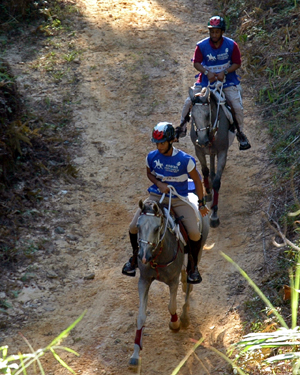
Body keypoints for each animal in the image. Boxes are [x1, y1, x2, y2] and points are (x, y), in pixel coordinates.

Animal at [128, 198, 209, 368]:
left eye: (156, 228)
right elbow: (141, 316)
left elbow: (171, 306)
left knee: (190, 281)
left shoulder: (173, 281)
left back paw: (184, 316)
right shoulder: (144, 281)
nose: (142, 256)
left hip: (198, 248)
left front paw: (175, 324)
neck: (157, 255)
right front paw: (135, 354)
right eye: (138, 226)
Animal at [190, 85, 234, 228]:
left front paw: (214, 215)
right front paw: (208, 191)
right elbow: (204, 170)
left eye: (207, 114)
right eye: (192, 116)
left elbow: (217, 182)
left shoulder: (222, 152)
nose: (202, 141)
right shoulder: (198, 150)